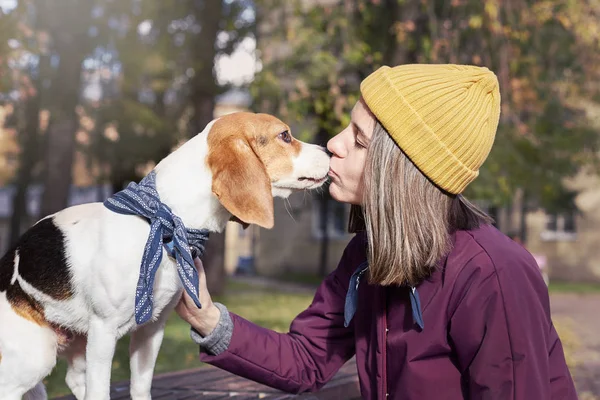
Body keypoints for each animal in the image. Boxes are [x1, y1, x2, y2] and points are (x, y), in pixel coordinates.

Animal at [0, 112, 328, 400]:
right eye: (285, 136)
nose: (328, 149)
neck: (164, 223)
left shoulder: (150, 332)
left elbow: (141, 387)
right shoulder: (104, 332)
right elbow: (101, 391)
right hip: (38, 355)